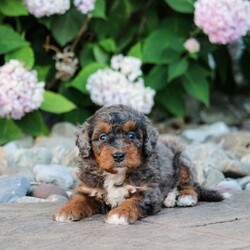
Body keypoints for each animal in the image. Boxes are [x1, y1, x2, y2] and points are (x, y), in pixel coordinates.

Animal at [52, 104, 223, 226]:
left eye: (131, 135)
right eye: (103, 137)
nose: (119, 155)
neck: (116, 174)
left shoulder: (147, 192)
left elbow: (132, 202)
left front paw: (119, 214)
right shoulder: (89, 189)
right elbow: (77, 199)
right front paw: (65, 211)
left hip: (182, 159)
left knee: (189, 184)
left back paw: (186, 197)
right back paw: (169, 199)